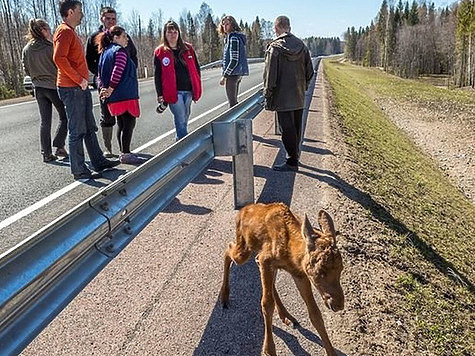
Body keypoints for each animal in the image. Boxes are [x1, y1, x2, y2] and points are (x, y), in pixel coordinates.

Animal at [221, 203, 344, 356]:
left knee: (254, 263)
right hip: (244, 249)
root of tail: (242, 211)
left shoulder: (299, 274)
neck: (291, 253)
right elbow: (267, 304)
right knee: (228, 250)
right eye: (320, 271)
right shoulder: (267, 260)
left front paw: (331, 352)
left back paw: (286, 315)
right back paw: (224, 296)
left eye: (341, 268)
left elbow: (315, 314)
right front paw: (269, 349)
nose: (338, 304)